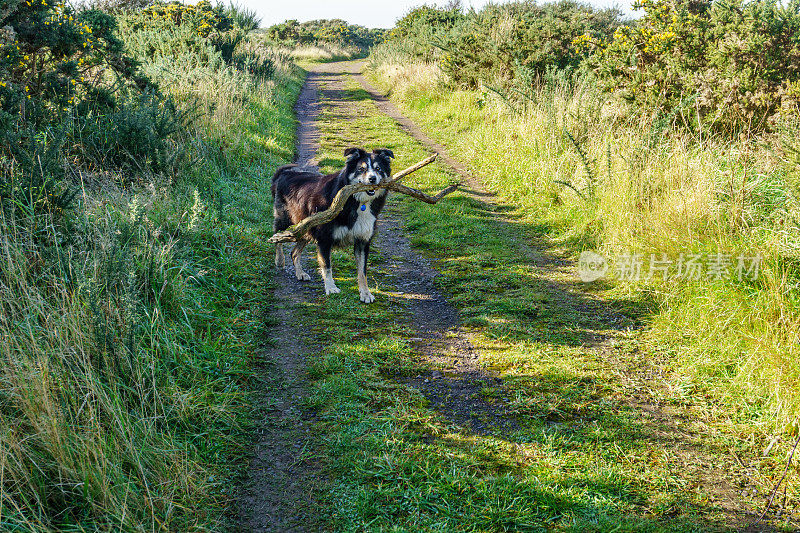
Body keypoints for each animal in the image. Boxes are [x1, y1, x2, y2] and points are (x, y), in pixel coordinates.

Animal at [272, 148, 394, 302]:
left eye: (378, 169)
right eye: (361, 169)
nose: (372, 179)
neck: (357, 202)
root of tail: (285, 173)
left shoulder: (363, 241)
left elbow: (362, 271)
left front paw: (365, 293)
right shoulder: (324, 238)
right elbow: (327, 266)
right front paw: (331, 287)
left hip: (306, 228)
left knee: (294, 252)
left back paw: (300, 273)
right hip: (287, 222)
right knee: (277, 238)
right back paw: (279, 260)